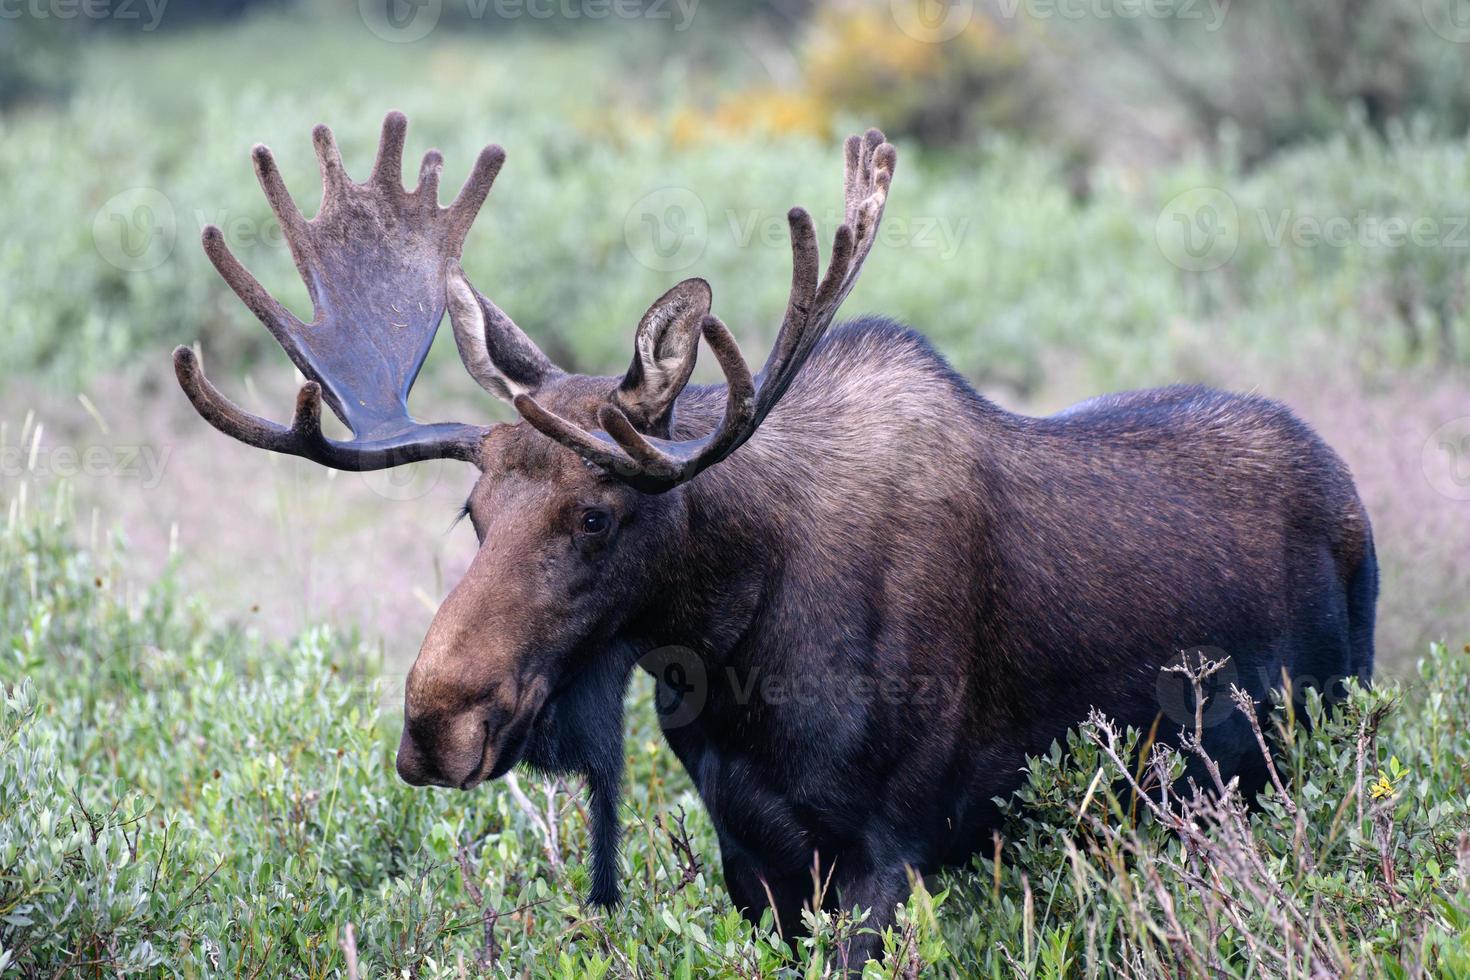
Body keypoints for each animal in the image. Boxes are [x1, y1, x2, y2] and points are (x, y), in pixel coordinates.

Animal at [171, 110, 1375, 952]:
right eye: (474, 513)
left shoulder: (889, 852)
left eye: (597, 513)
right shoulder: (753, 859)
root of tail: (1348, 496)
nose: (435, 725)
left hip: (1296, 753)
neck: (727, 648)